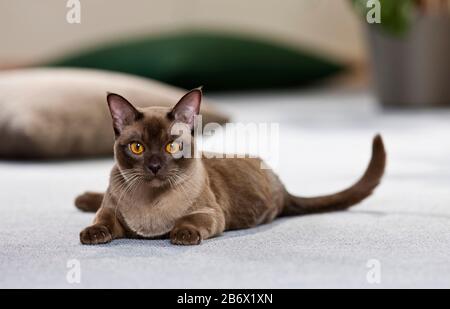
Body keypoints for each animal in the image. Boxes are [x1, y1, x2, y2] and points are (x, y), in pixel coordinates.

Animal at [75, 88, 384, 244]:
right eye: (137, 147)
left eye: (172, 146)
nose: (154, 166)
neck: (150, 204)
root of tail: (282, 186)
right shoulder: (110, 212)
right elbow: (102, 220)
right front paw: (91, 234)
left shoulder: (210, 214)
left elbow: (187, 223)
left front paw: (182, 235)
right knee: (97, 200)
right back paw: (82, 198)